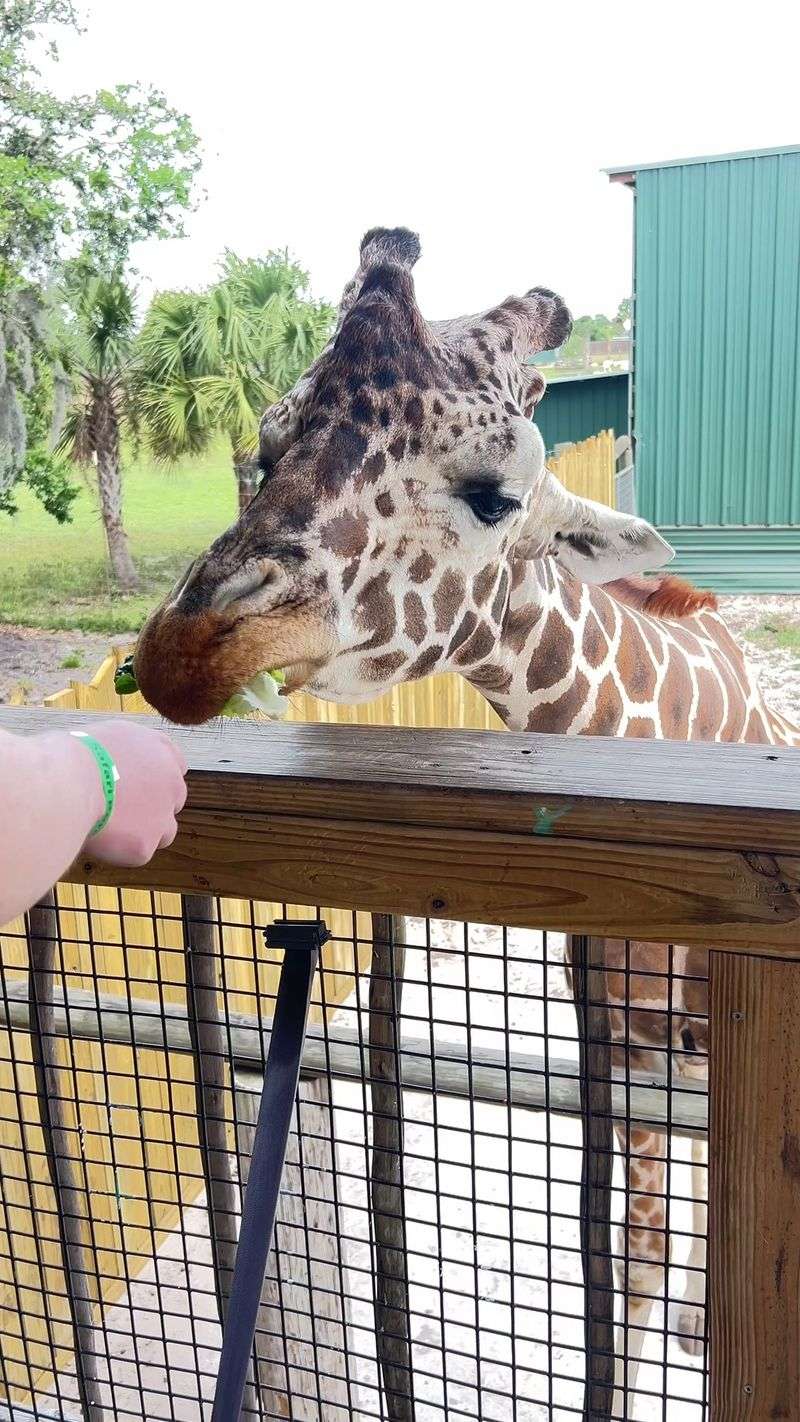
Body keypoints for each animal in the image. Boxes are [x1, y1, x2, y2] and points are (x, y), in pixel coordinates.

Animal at [134, 227, 800, 1418]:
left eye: (494, 496)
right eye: (262, 451)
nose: (184, 649)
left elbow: (663, 1233)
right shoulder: (621, 1049)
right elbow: (629, 1250)